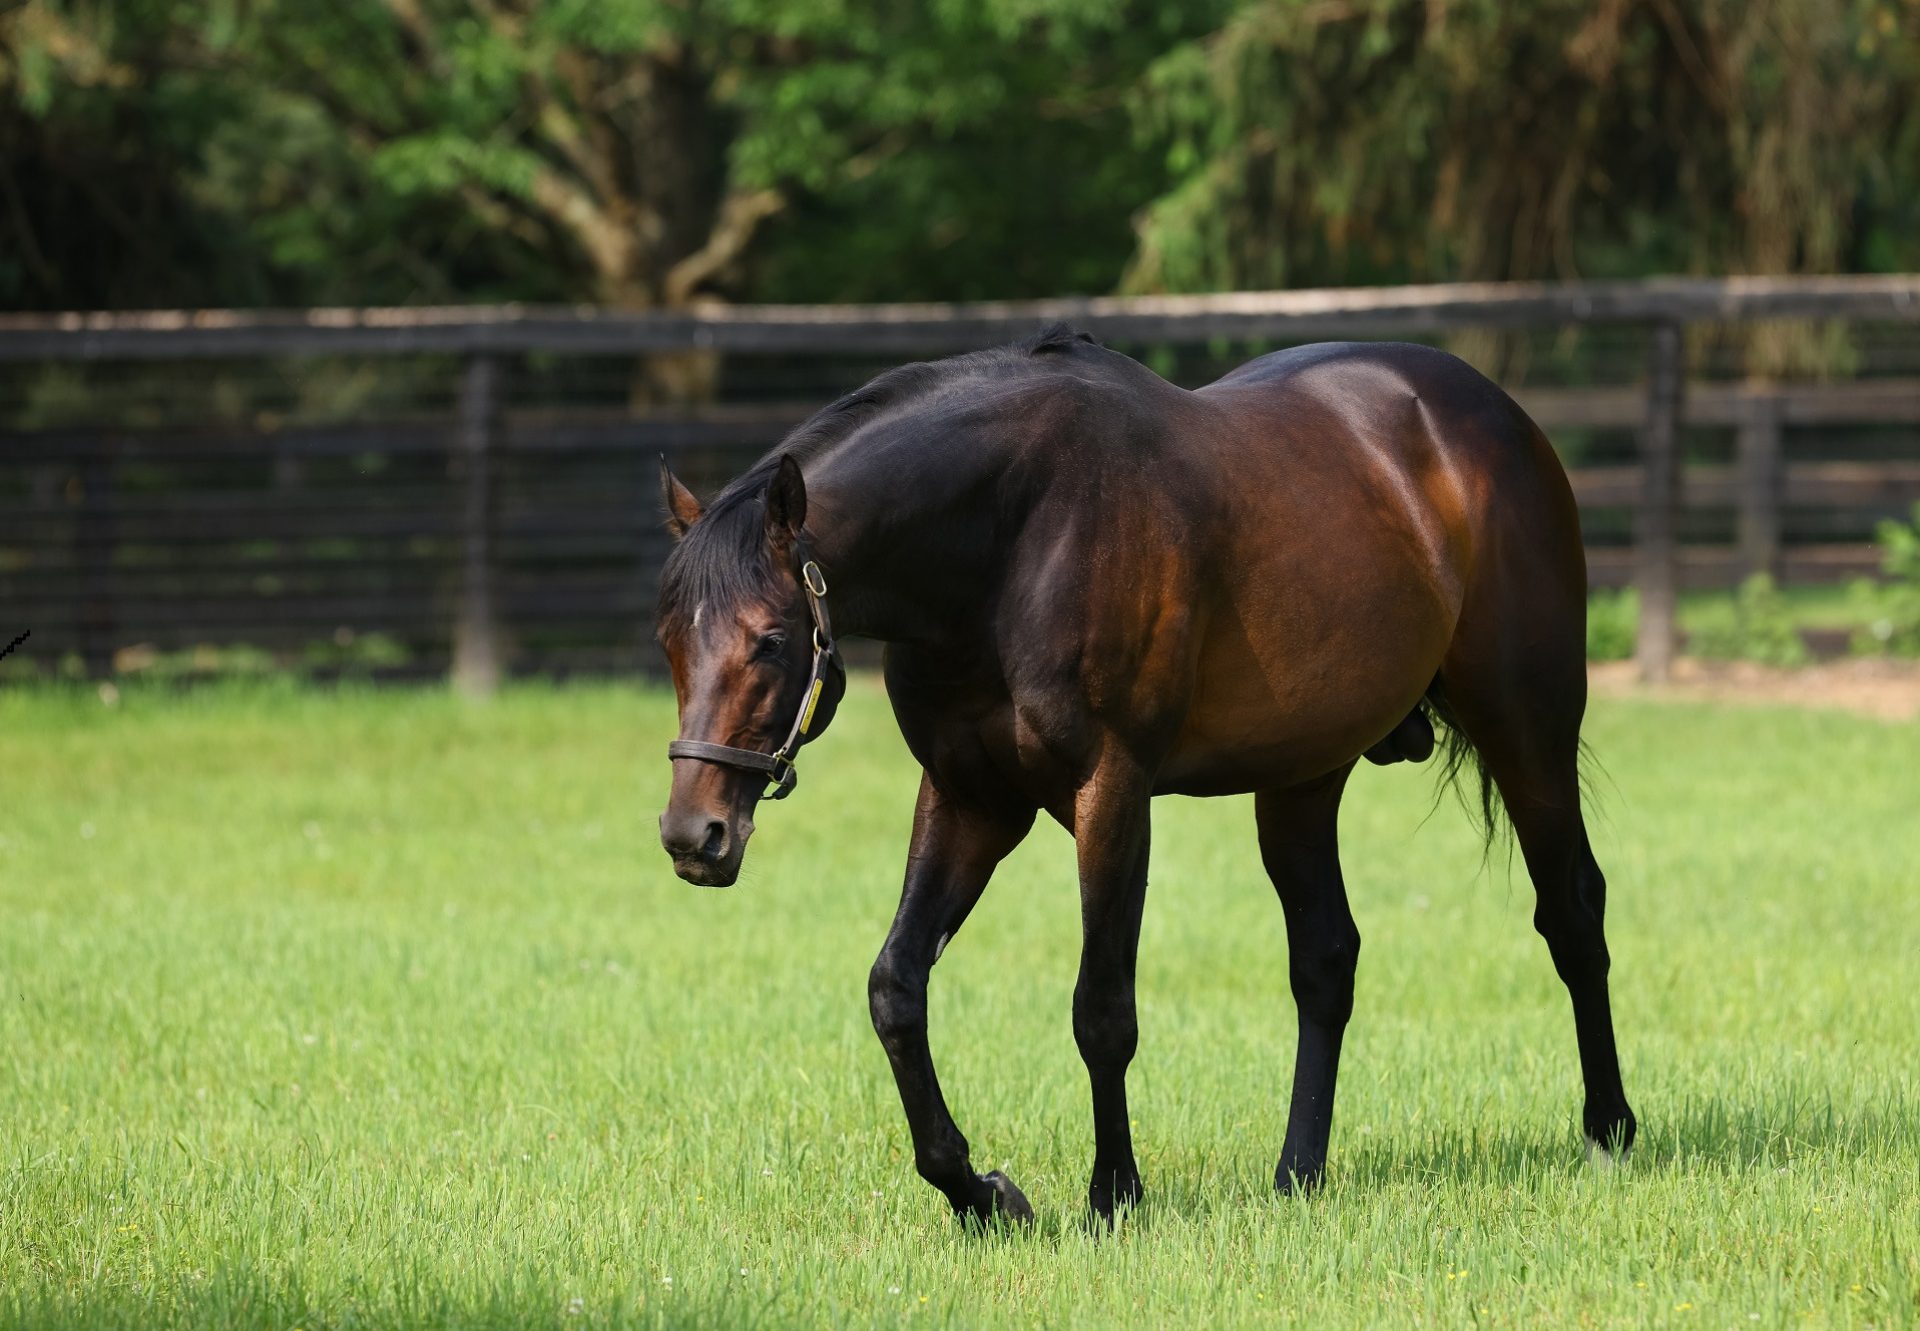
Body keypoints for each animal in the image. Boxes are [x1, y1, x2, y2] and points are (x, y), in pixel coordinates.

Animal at [656, 326, 1635, 1221]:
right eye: (669, 639)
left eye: (769, 640)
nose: (693, 834)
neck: (1012, 539)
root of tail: (1495, 415)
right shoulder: (970, 797)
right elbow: (896, 987)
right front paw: (981, 1191)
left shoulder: (1113, 792)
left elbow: (1102, 1007)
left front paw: (1114, 1194)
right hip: (1302, 777)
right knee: (1326, 958)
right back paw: (1298, 1173)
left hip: (1527, 729)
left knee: (1572, 911)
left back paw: (1609, 1130)